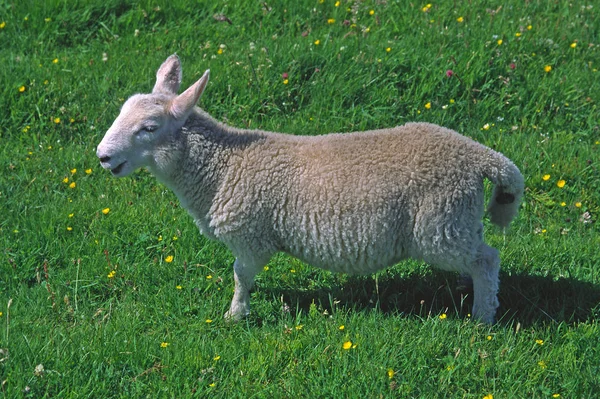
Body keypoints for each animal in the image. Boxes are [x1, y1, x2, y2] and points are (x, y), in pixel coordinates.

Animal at [96, 54, 524, 324]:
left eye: (149, 128)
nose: (102, 156)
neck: (221, 167)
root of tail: (480, 157)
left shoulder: (251, 236)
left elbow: (240, 277)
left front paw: (235, 315)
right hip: (457, 220)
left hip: (440, 222)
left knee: (487, 260)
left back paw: (482, 317)